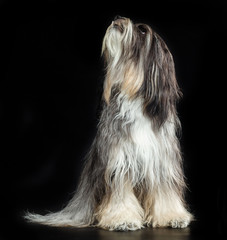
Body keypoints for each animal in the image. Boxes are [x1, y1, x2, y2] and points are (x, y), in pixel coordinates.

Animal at [24, 16, 192, 231]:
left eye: (142, 31)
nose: (118, 19)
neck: (134, 98)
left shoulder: (161, 163)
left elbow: (164, 193)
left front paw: (172, 217)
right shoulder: (119, 162)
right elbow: (120, 195)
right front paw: (123, 219)